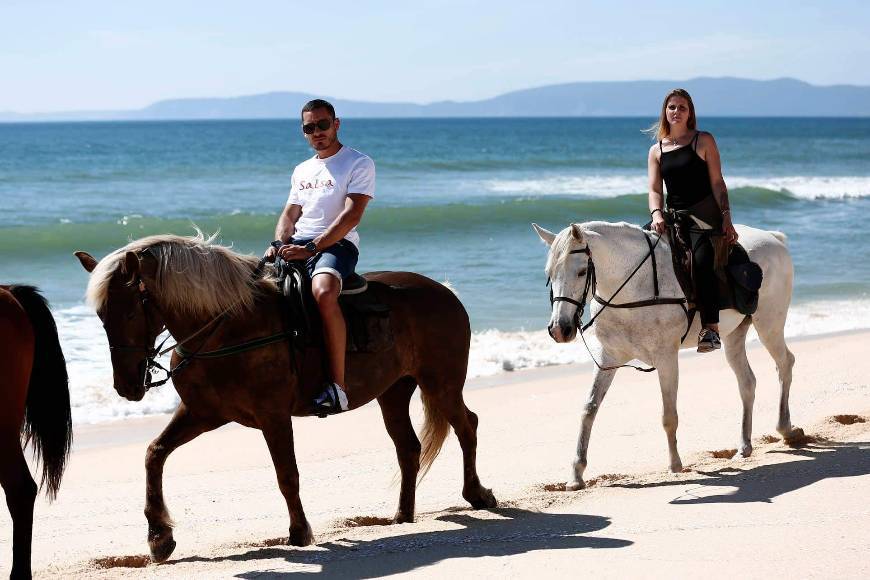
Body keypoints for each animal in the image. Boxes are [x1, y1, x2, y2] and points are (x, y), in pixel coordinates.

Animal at [75, 233, 498, 564]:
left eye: (130, 312)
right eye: (101, 316)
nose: (126, 385)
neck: (229, 328)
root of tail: (443, 292)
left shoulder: (273, 416)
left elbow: (286, 474)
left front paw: (299, 531)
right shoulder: (202, 413)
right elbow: (155, 453)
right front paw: (159, 537)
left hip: (441, 384)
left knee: (467, 426)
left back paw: (477, 493)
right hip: (393, 393)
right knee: (409, 447)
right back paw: (402, 514)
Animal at [536, 222, 808, 490]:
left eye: (582, 272)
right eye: (549, 274)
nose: (560, 329)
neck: (633, 289)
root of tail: (773, 237)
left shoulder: (666, 358)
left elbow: (668, 415)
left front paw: (675, 464)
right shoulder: (608, 359)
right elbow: (589, 409)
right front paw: (576, 473)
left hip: (769, 324)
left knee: (785, 363)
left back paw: (785, 429)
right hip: (734, 336)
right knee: (747, 382)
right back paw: (744, 446)